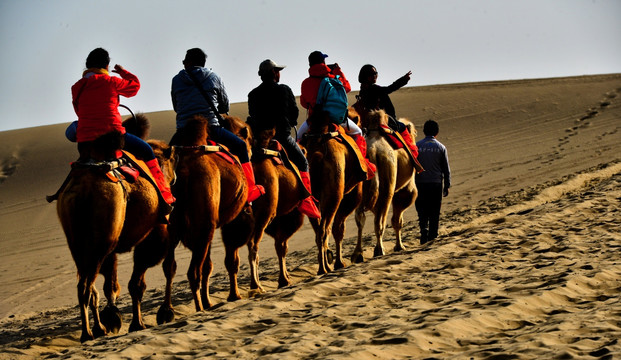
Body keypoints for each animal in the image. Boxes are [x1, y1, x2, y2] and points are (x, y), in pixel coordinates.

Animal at [56, 116, 176, 344]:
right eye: (172, 162)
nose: (172, 180)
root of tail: (82, 188)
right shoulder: (156, 233)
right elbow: (140, 282)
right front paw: (143, 321)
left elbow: (111, 285)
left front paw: (112, 317)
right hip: (101, 239)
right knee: (86, 286)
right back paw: (88, 333)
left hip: (80, 242)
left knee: (87, 285)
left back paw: (96, 329)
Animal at [166, 115, 253, 316]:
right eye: (250, 139)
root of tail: (183, 172)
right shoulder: (228, 221)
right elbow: (231, 259)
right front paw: (234, 296)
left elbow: (208, 265)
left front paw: (210, 301)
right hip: (205, 225)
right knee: (193, 272)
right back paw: (198, 308)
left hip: (176, 227)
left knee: (170, 268)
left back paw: (166, 312)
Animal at [220, 115, 306, 290]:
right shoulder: (272, 215)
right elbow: (278, 246)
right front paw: (282, 280)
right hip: (265, 215)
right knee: (255, 247)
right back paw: (257, 285)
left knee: (233, 255)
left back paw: (236, 292)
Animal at [300, 112, 366, 272]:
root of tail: (316, 153)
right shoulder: (352, 196)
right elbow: (339, 228)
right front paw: (339, 263)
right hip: (334, 192)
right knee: (325, 229)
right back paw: (326, 268)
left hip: (311, 196)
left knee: (319, 230)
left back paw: (322, 267)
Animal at [346, 106, 418, 258]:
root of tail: (373, 152)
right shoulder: (406, 190)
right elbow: (397, 220)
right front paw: (399, 246)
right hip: (388, 187)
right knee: (381, 222)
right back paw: (379, 250)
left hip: (361, 185)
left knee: (360, 219)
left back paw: (358, 253)